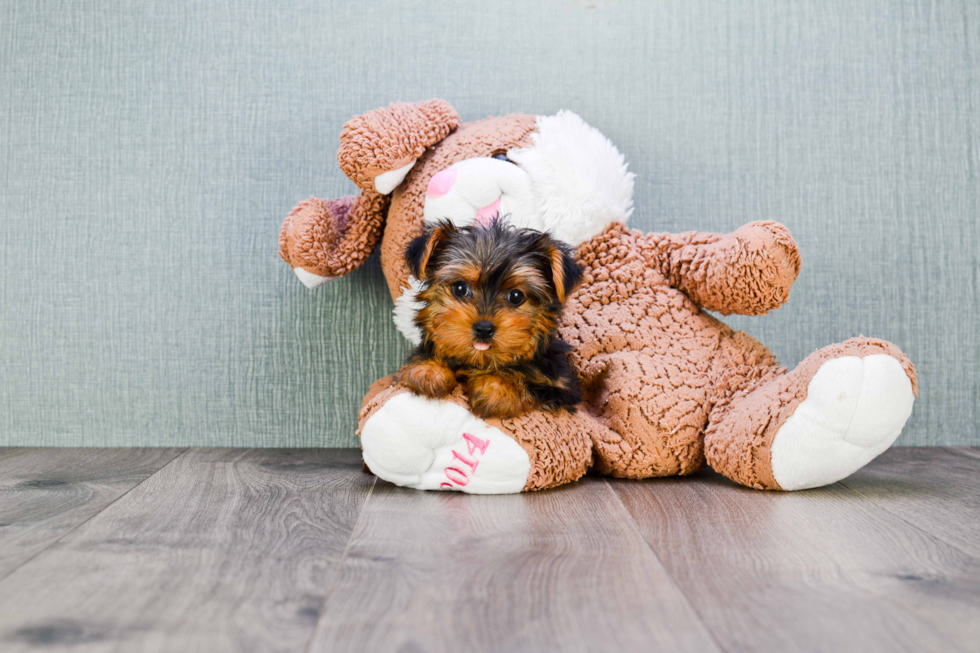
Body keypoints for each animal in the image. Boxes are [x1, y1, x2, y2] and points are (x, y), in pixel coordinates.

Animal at [396, 216, 580, 416]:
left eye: (516, 296)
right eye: (460, 288)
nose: (484, 328)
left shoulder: (560, 388)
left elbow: (532, 386)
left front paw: (498, 389)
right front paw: (428, 370)